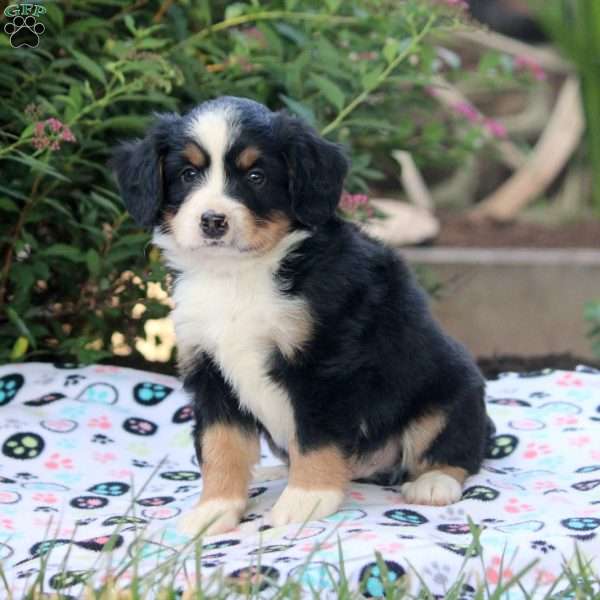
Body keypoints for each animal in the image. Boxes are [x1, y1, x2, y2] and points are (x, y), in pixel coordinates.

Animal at [111, 96, 488, 536]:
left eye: (256, 176)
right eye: (188, 174)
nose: (213, 221)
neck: (237, 276)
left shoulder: (323, 365)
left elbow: (315, 437)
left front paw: (306, 501)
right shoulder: (210, 371)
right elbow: (221, 446)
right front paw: (214, 510)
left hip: (449, 390)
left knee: (459, 449)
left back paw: (433, 483)